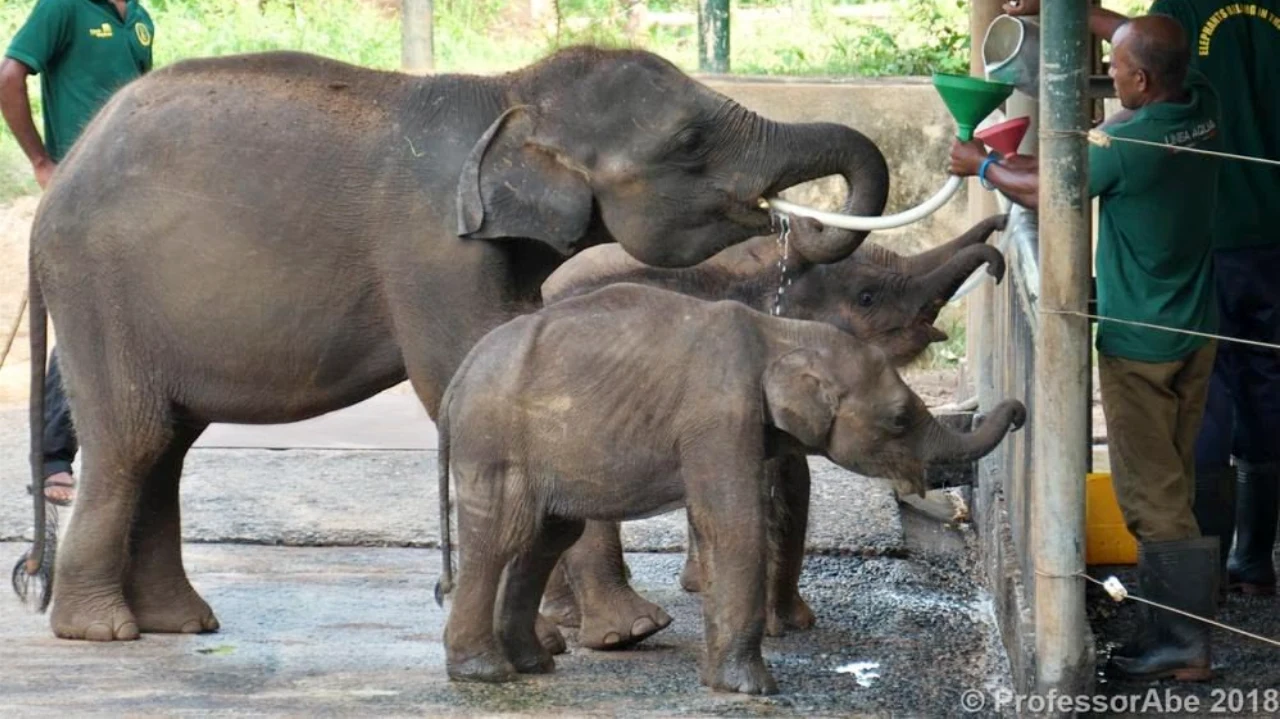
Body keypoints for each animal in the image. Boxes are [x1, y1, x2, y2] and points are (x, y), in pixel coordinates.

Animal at [24, 46, 893, 642]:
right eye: (687, 143)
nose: (795, 227)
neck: (511, 92)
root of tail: (56, 182)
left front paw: (574, 631)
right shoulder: (433, 247)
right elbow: (463, 380)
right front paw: (616, 634)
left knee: (167, 445)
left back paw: (181, 623)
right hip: (97, 291)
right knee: (136, 438)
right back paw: (102, 630)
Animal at [434, 283, 1027, 694]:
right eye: (901, 419)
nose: (1020, 412)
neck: (782, 333)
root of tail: (459, 376)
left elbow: (727, 521)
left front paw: (720, 682)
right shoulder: (719, 415)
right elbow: (733, 520)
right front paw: (753, 690)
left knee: (546, 538)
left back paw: (534, 665)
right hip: (494, 441)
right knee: (503, 537)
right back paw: (484, 674)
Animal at [533, 213, 1009, 651]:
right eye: (867, 297)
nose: (998, 261)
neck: (763, 280)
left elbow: (793, 480)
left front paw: (795, 624)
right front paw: (768, 630)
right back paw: (625, 632)